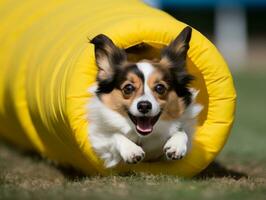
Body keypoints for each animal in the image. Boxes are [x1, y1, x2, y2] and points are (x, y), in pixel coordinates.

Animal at [87, 26, 202, 167]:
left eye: (160, 88)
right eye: (128, 88)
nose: (144, 106)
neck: (143, 136)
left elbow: (181, 131)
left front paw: (176, 145)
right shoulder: (98, 139)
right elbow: (114, 135)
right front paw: (131, 150)